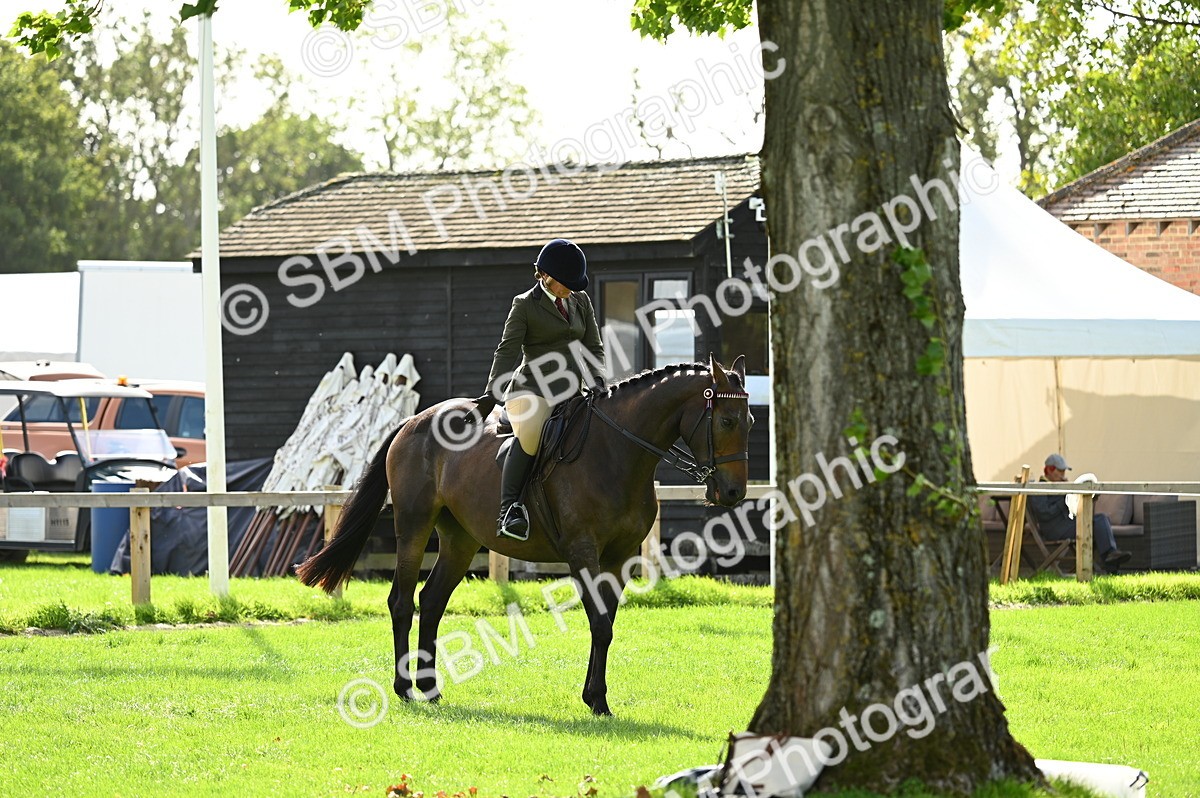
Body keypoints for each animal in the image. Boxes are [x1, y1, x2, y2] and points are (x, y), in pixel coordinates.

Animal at [297, 354, 753, 715]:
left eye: (748, 420)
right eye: (727, 420)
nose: (733, 493)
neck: (617, 453)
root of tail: (414, 420)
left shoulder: (620, 557)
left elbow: (606, 624)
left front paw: (595, 697)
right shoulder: (582, 552)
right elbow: (599, 622)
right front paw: (597, 700)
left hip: (460, 539)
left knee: (432, 601)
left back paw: (430, 687)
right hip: (413, 526)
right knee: (401, 601)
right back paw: (405, 688)